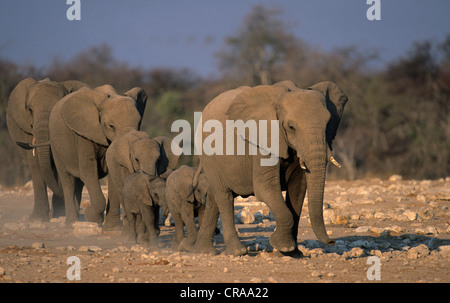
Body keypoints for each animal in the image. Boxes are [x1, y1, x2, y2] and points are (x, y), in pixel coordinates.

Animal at [49, 84, 148, 227]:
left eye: (139, 123)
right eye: (111, 126)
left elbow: (112, 173)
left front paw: (113, 228)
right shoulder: (83, 134)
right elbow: (88, 171)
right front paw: (91, 217)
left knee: (78, 184)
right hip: (56, 144)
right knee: (68, 180)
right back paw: (71, 223)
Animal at [193, 81, 348, 256]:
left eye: (328, 124)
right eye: (291, 127)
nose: (332, 241)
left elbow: (298, 190)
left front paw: (293, 254)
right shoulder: (264, 140)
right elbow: (265, 188)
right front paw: (283, 246)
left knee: (214, 197)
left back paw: (202, 251)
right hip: (208, 156)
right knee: (224, 196)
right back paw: (237, 252)